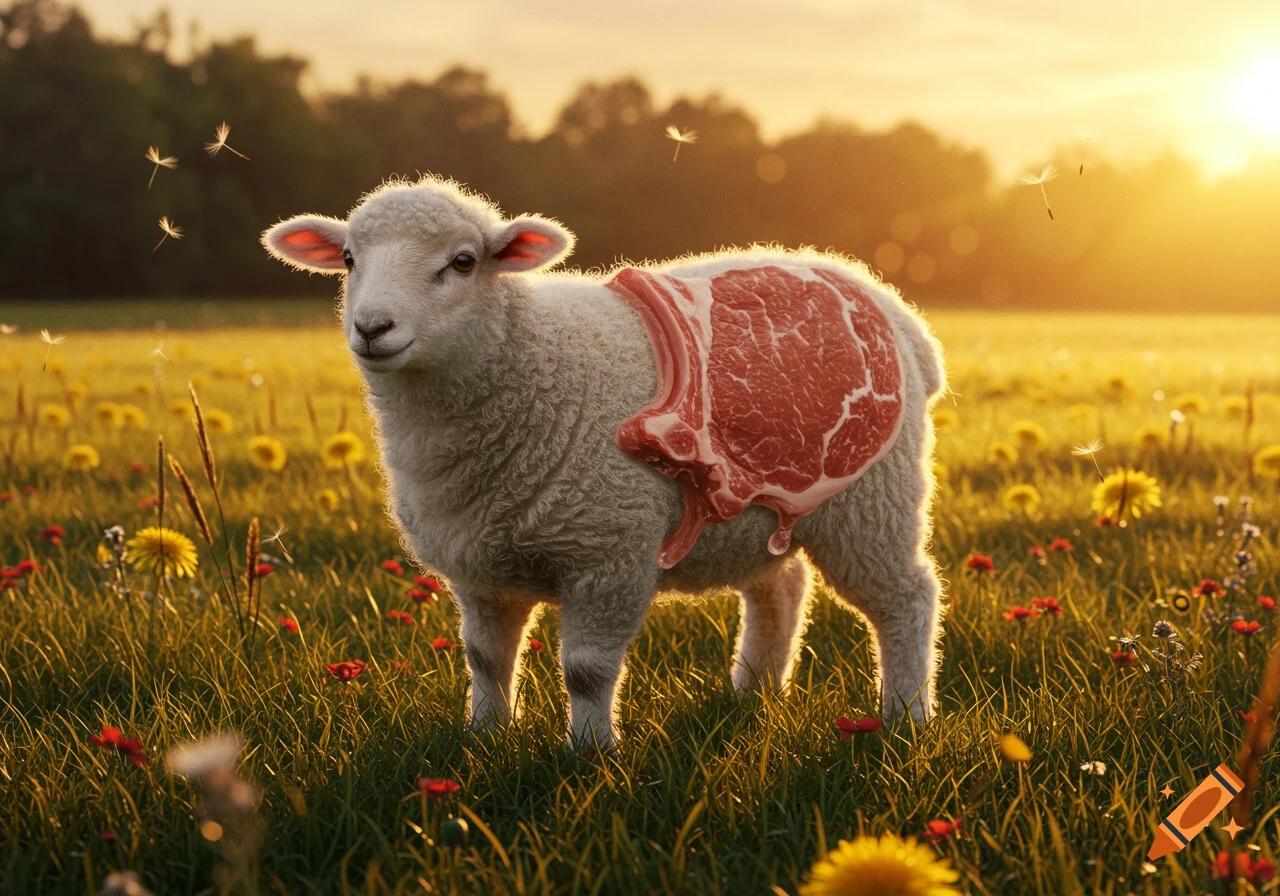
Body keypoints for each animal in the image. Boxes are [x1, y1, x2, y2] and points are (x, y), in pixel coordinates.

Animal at [262, 176, 948, 750]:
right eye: (350, 260)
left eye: (463, 262)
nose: (372, 327)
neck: (531, 364)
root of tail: (897, 310)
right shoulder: (479, 565)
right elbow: (486, 658)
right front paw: (484, 737)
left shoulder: (607, 551)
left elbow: (586, 671)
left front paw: (590, 753)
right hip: (764, 506)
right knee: (780, 586)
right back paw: (752, 691)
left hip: (871, 498)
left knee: (907, 598)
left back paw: (906, 717)